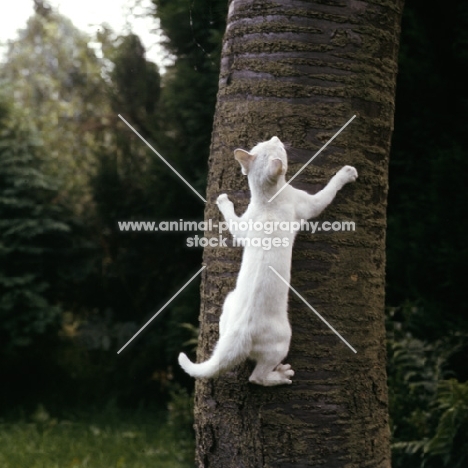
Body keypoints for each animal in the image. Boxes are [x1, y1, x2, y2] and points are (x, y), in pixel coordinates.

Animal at [177, 134, 356, 384]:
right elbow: (328, 191)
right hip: (282, 341)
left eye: (265, 143)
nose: (276, 137)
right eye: (278, 148)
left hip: (228, 301)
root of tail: (238, 336)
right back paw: (281, 375)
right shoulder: (308, 204)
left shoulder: (243, 228)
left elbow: (231, 219)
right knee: (256, 377)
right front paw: (346, 173)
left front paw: (222, 201)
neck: (266, 199)